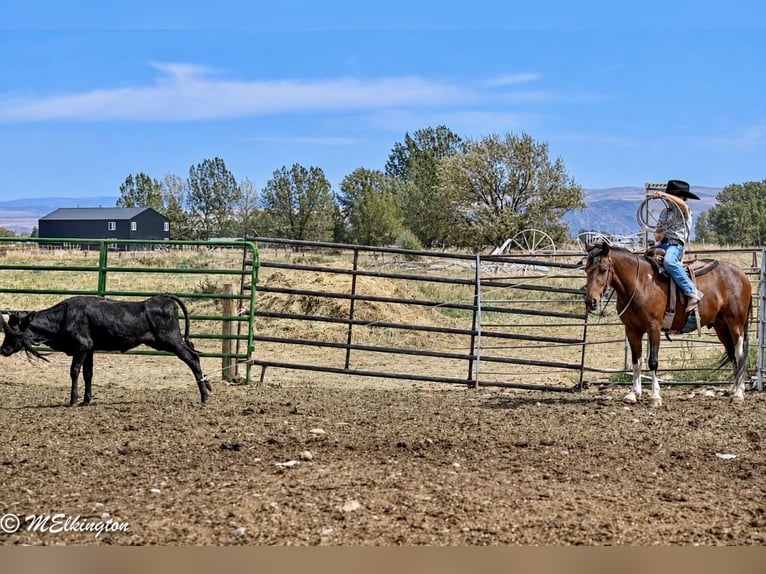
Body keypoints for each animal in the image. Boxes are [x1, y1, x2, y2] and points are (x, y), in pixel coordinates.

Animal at [583, 240, 752, 406]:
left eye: (603, 269)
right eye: (586, 269)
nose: (591, 301)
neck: (641, 283)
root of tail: (742, 275)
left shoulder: (654, 327)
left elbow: (653, 362)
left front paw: (655, 397)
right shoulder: (632, 330)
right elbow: (636, 361)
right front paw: (633, 394)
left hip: (736, 323)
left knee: (739, 353)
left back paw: (738, 394)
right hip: (721, 326)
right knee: (732, 354)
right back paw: (734, 389)